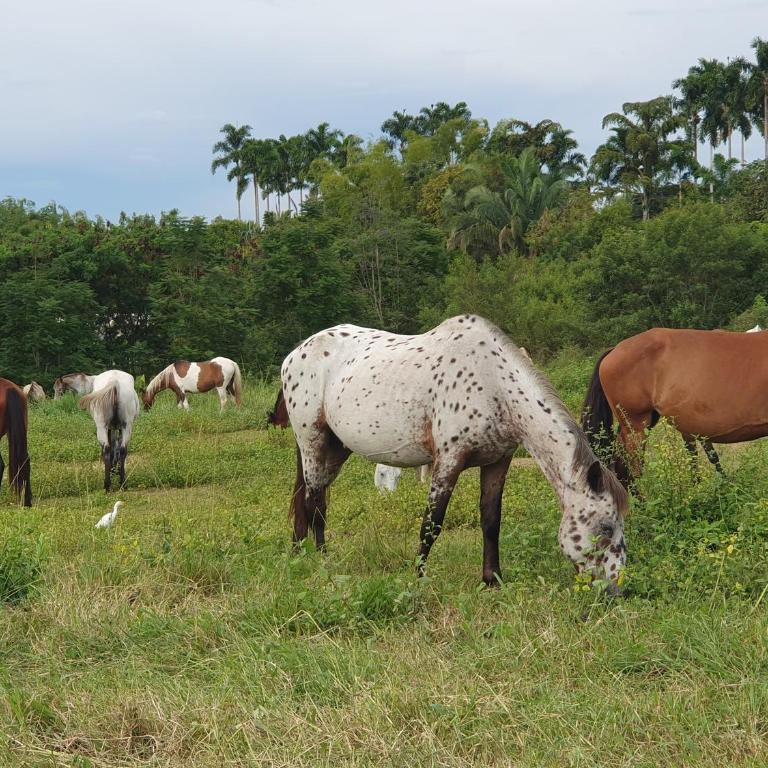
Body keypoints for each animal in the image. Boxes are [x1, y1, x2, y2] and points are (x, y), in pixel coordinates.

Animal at [272, 315, 628, 590]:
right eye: (604, 528)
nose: (617, 589)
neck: (492, 382)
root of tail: (294, 355)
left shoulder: (498, 462)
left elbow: (491, 520)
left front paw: (492, 579)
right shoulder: (448, 461)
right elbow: (432, 524)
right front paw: (418, 578)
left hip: (334, 449)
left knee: (312, 499)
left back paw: (302, 552)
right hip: (312, 441)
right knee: (314, 501)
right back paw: (322, 560)